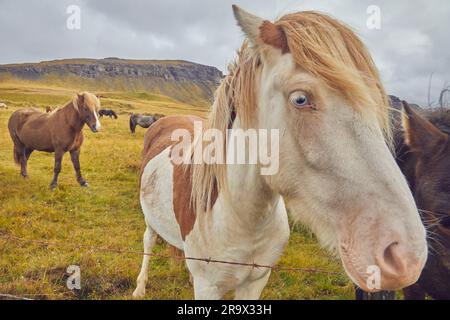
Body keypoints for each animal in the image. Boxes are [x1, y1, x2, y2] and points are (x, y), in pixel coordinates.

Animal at [133, 5, 426, 300]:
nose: (406, 255)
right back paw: (140, 286)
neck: (242, 222)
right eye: (300, 99)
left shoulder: (256, 280)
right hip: (149, 221)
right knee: (148, 242)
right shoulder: (208, 287)